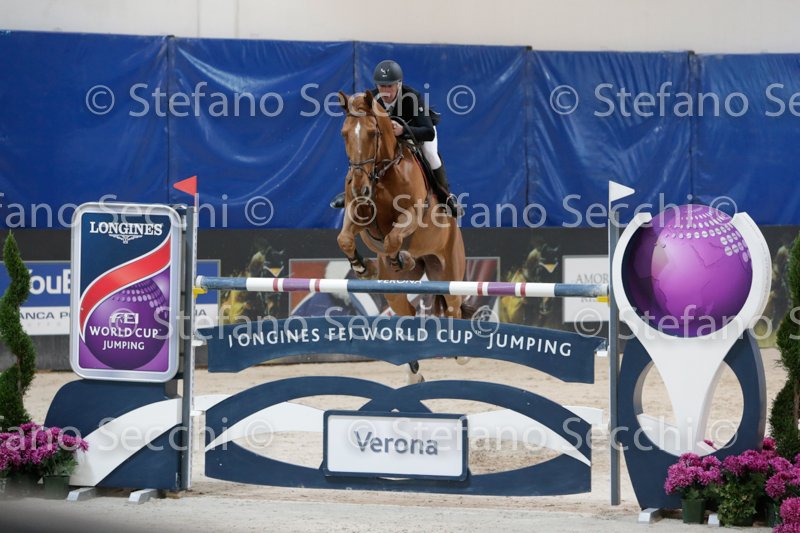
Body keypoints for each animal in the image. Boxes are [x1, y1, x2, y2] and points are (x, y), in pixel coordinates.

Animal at [335, 90, 470, 383]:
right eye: (344, 134)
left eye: (373, 132)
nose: (360, 186)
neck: (382, 172)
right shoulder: (357, 212)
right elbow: (345, 239)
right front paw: (362, 267)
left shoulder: (413, 214)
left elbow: (393, 238)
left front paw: (399, 256)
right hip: (394, 291)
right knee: (407, 313)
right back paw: (414, 372)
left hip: (449, 271)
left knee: (453, 308)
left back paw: (461, 354)